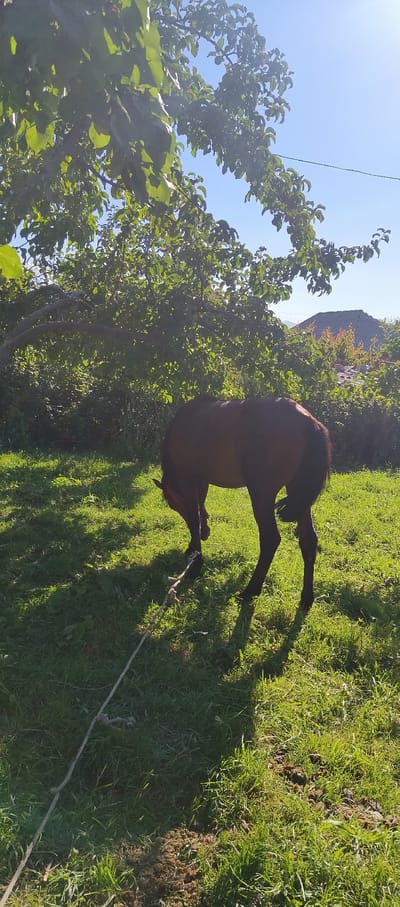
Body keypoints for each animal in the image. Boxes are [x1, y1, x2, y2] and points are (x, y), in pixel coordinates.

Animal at [154, 395, 332, 607]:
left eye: (174, 505)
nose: (206, 534)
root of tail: (308, 422)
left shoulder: (188, 479)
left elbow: (194, 517)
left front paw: (195, 560)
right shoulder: (201, 479)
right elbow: (199, 507)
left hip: (262, 494)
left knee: (270, 539)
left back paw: (250, 590)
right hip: (298, 494)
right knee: (308, 540)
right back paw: (306, 597)